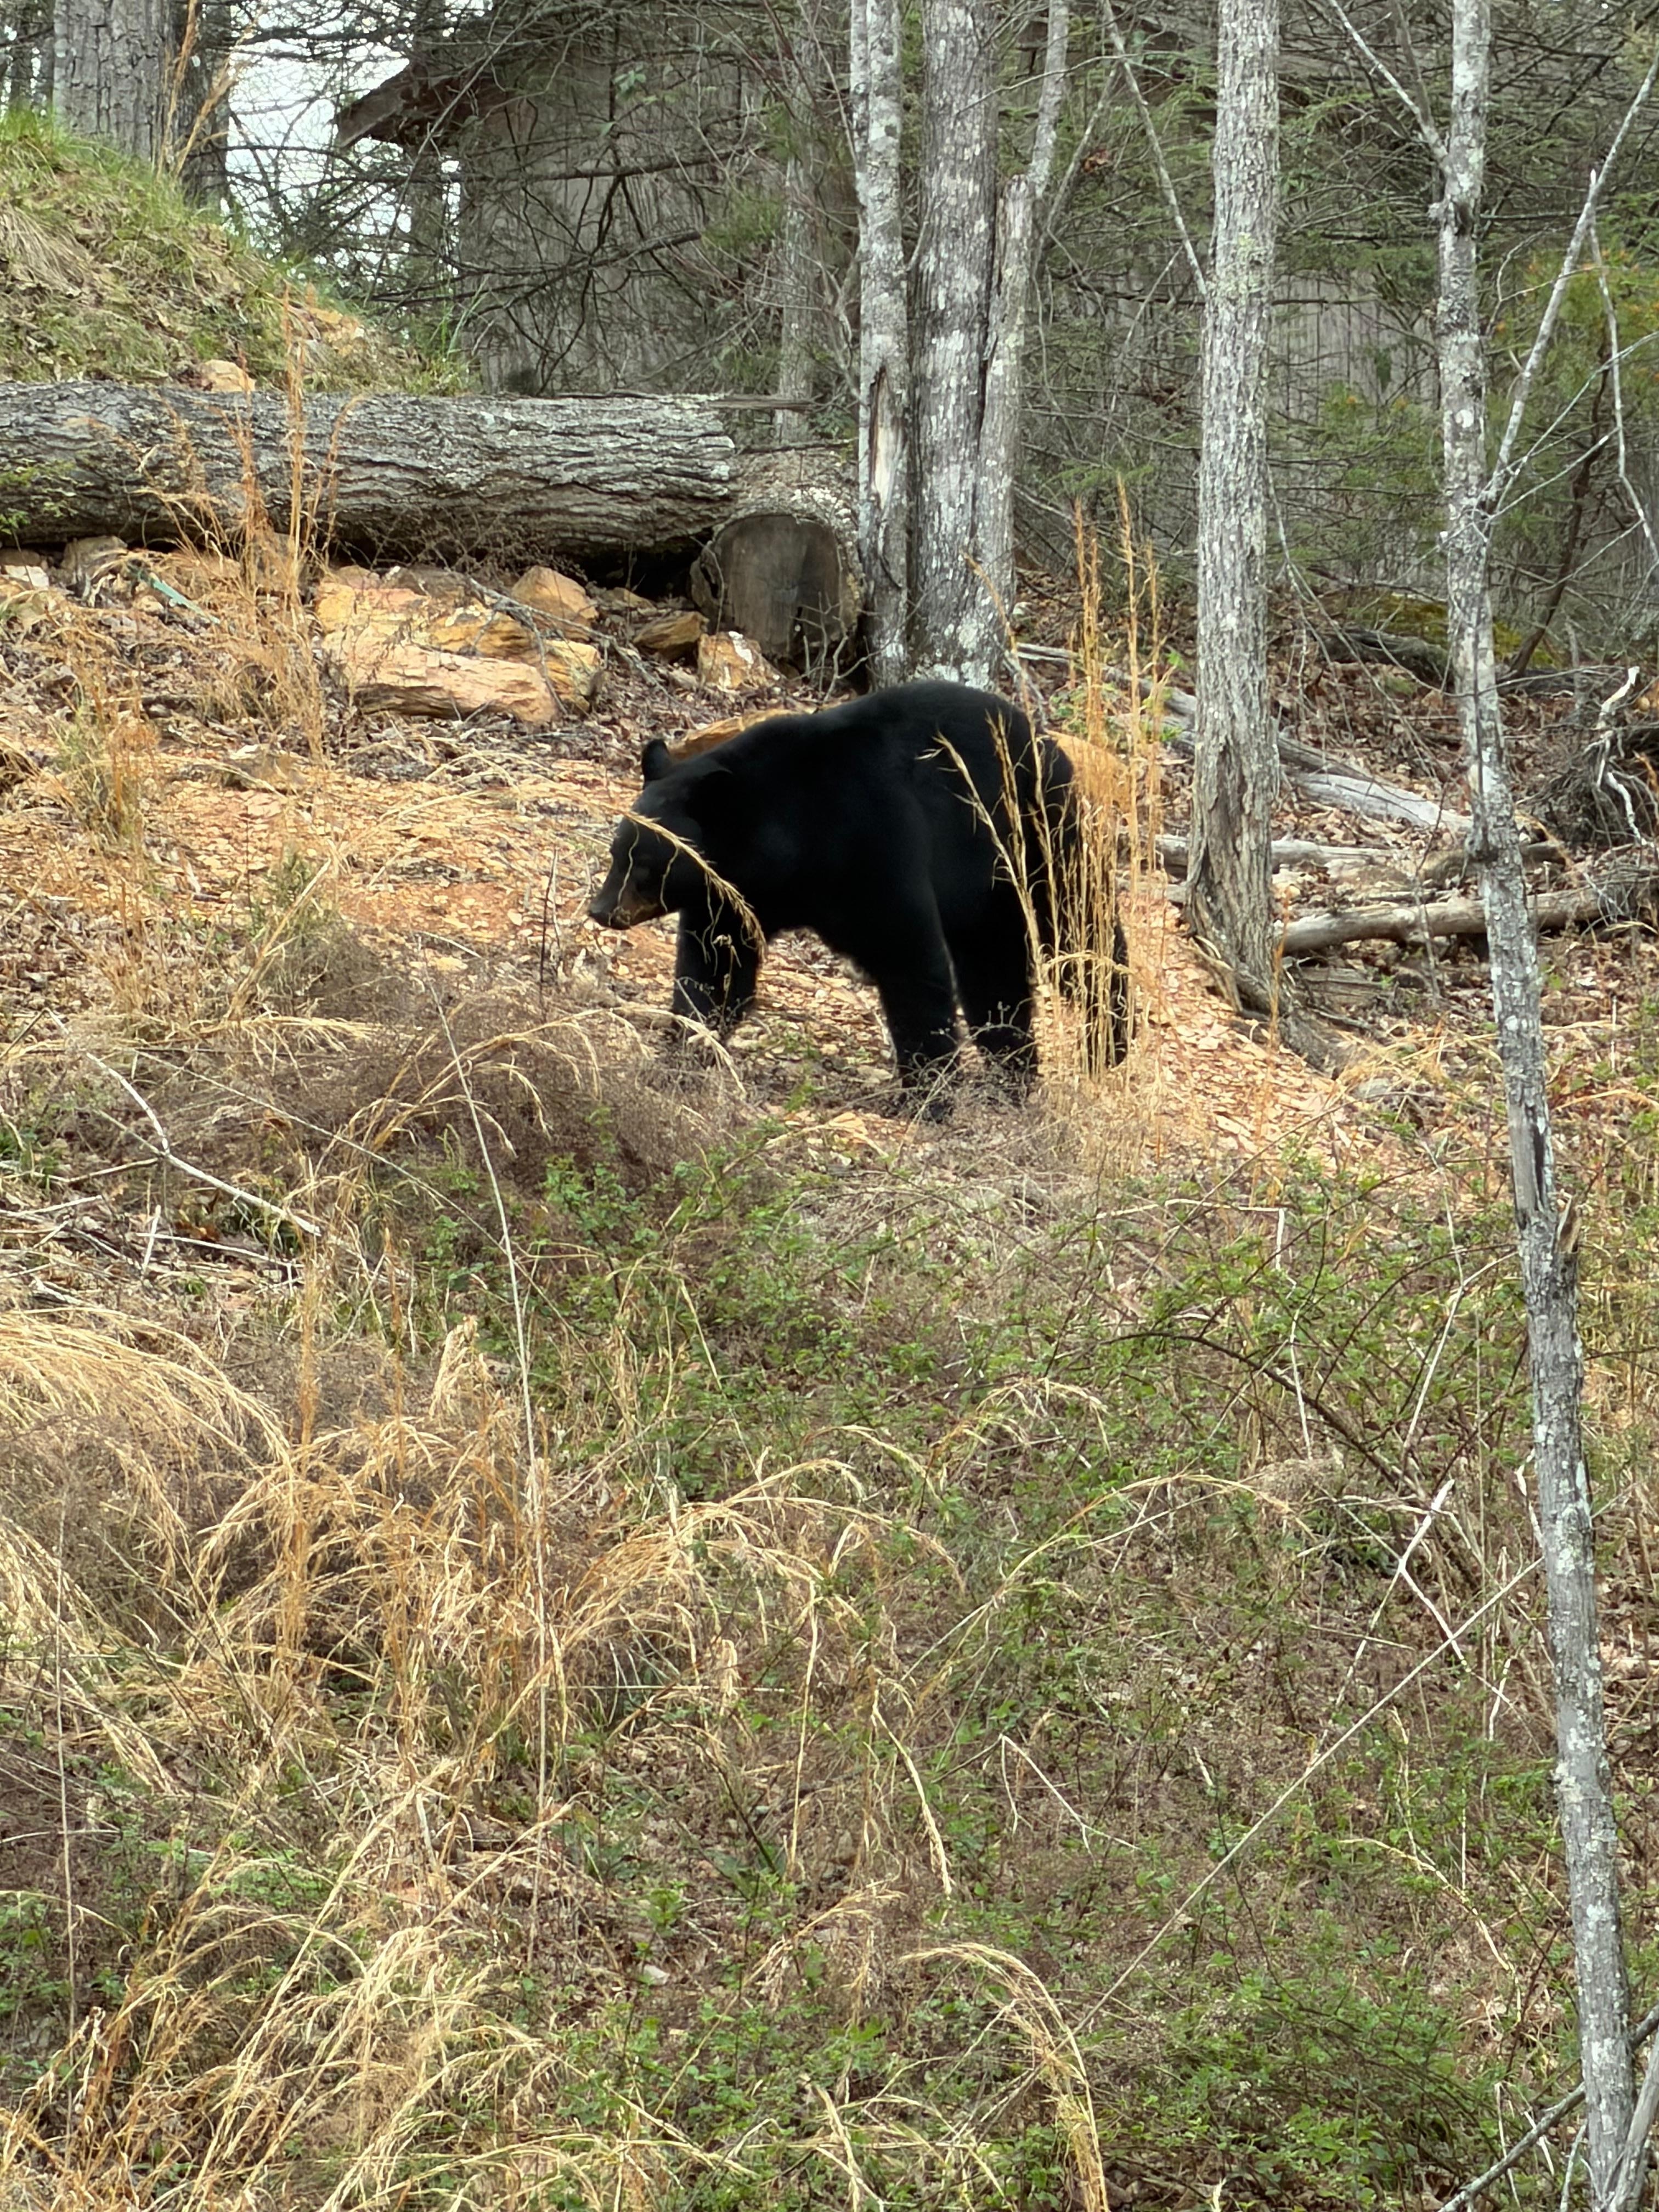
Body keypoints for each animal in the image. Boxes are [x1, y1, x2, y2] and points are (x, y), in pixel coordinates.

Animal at [587, 680, 1128, 1108]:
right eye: (617, 851)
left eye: (647, 863)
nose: (601, 910)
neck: (787, 840)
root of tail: (1041, 734)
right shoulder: (731, 898)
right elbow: (713, 970)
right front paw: (685, 1050)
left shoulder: (870, 840)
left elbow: (909, 958)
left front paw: (929, 1093)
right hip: (987, 893)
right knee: (994, 971)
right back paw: (1012, 1070)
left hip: (1032, 836)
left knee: (1077, 927)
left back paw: (1111, 1041)